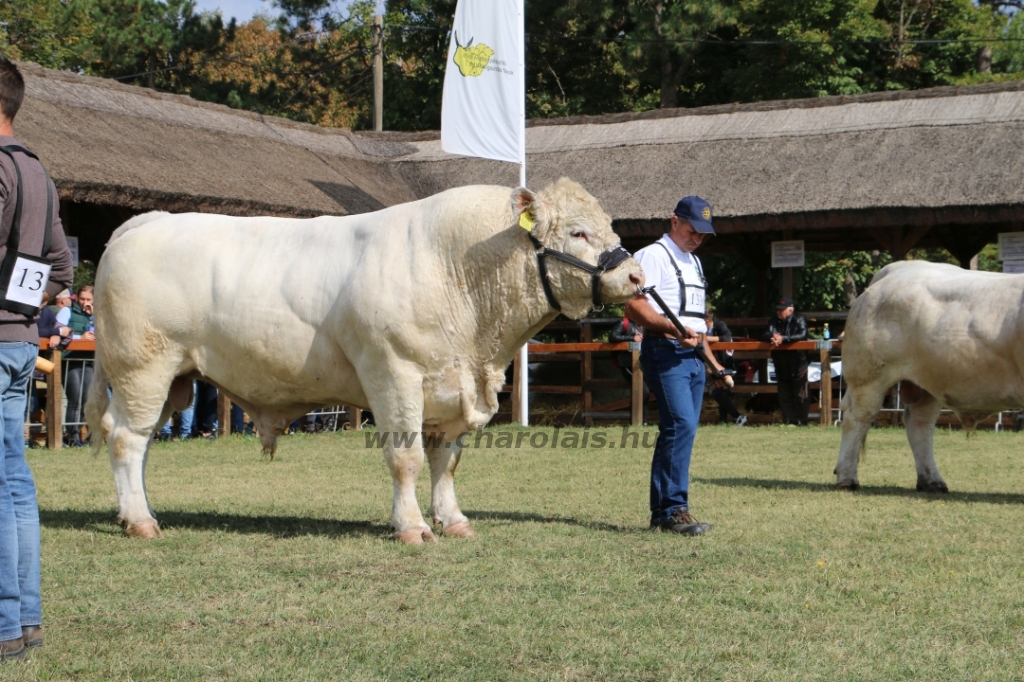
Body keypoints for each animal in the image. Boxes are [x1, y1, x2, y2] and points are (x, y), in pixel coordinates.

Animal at [90, 179, 647, 540]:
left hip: (175, 379)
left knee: (138, 443)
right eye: (578, 232)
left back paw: (131, 512)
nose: (637, 277)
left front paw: (453, 520)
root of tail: (144, 222)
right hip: (144, 368)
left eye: (608, 225)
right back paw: (141, 522)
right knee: (126, 440)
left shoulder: (453, 389)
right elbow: (407, 457)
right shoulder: (393, 374)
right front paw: (412, 527)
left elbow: (446, 461)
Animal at [835, 259, 1024, 489]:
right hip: (868, 378)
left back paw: (932, 480)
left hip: (927, 382)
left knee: (920, 424)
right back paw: (847, 478)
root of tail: (897, 270)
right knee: (857, 419)